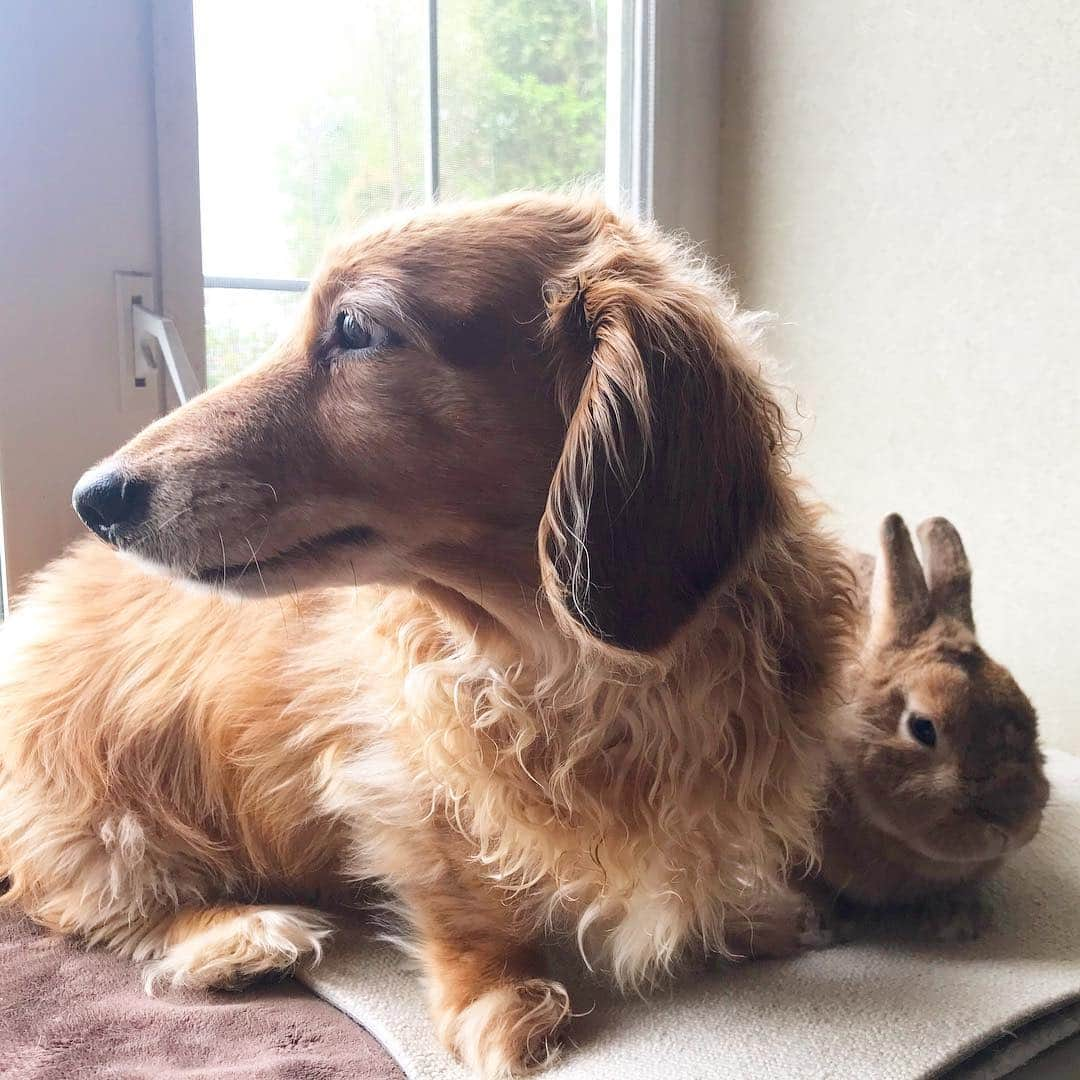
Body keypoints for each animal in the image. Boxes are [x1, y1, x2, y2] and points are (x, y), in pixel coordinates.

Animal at [2, 192, 859, 1071]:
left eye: (355, 328)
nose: (93, 499)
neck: (561, 656)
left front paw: (754, 915)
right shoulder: (399, 769)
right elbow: (465, 890)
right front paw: (501, 996)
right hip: (110, 821)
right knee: (81, 906)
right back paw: (235, 935)